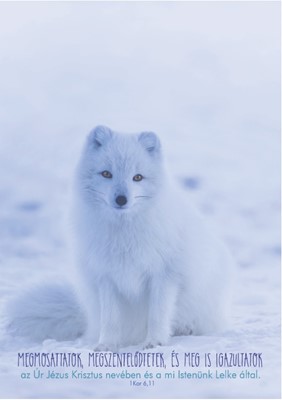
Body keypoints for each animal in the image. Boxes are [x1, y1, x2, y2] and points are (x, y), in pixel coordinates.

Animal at [6, 126, 234, 350]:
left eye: (138, 177)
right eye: (107, 174)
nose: (121, 199)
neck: (124, 234)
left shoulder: (164, 275)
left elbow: (157, 314)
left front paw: (155, 342)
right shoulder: (106, 277)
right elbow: (111, 319)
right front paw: (106, 345)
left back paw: (185, 329)